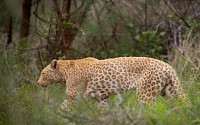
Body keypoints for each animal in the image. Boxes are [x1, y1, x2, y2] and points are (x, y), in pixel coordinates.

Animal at [38, 56, 187, 110]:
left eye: (43, 73)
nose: (38, 83)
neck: (64, 71)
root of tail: (168, 66)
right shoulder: (102, 98)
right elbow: (103, 109)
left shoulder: (73, 95)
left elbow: (62, 106)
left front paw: (53, 115)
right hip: (169, 91)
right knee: (177, 105)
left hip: (146, 94)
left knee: (149, 109)